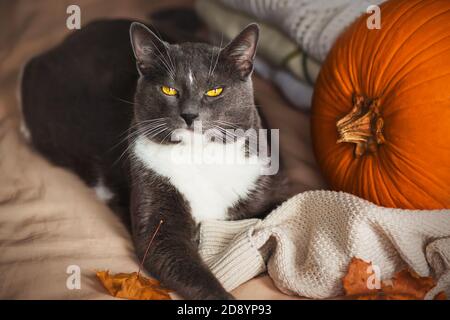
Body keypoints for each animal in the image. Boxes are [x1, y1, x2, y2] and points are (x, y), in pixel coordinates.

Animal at [21, 20, 286, 300]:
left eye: (214, 90)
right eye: (169, 89)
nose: (189, 114)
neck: (200, 155)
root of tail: (67, 41)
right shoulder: (149, 186)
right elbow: (169, 252)